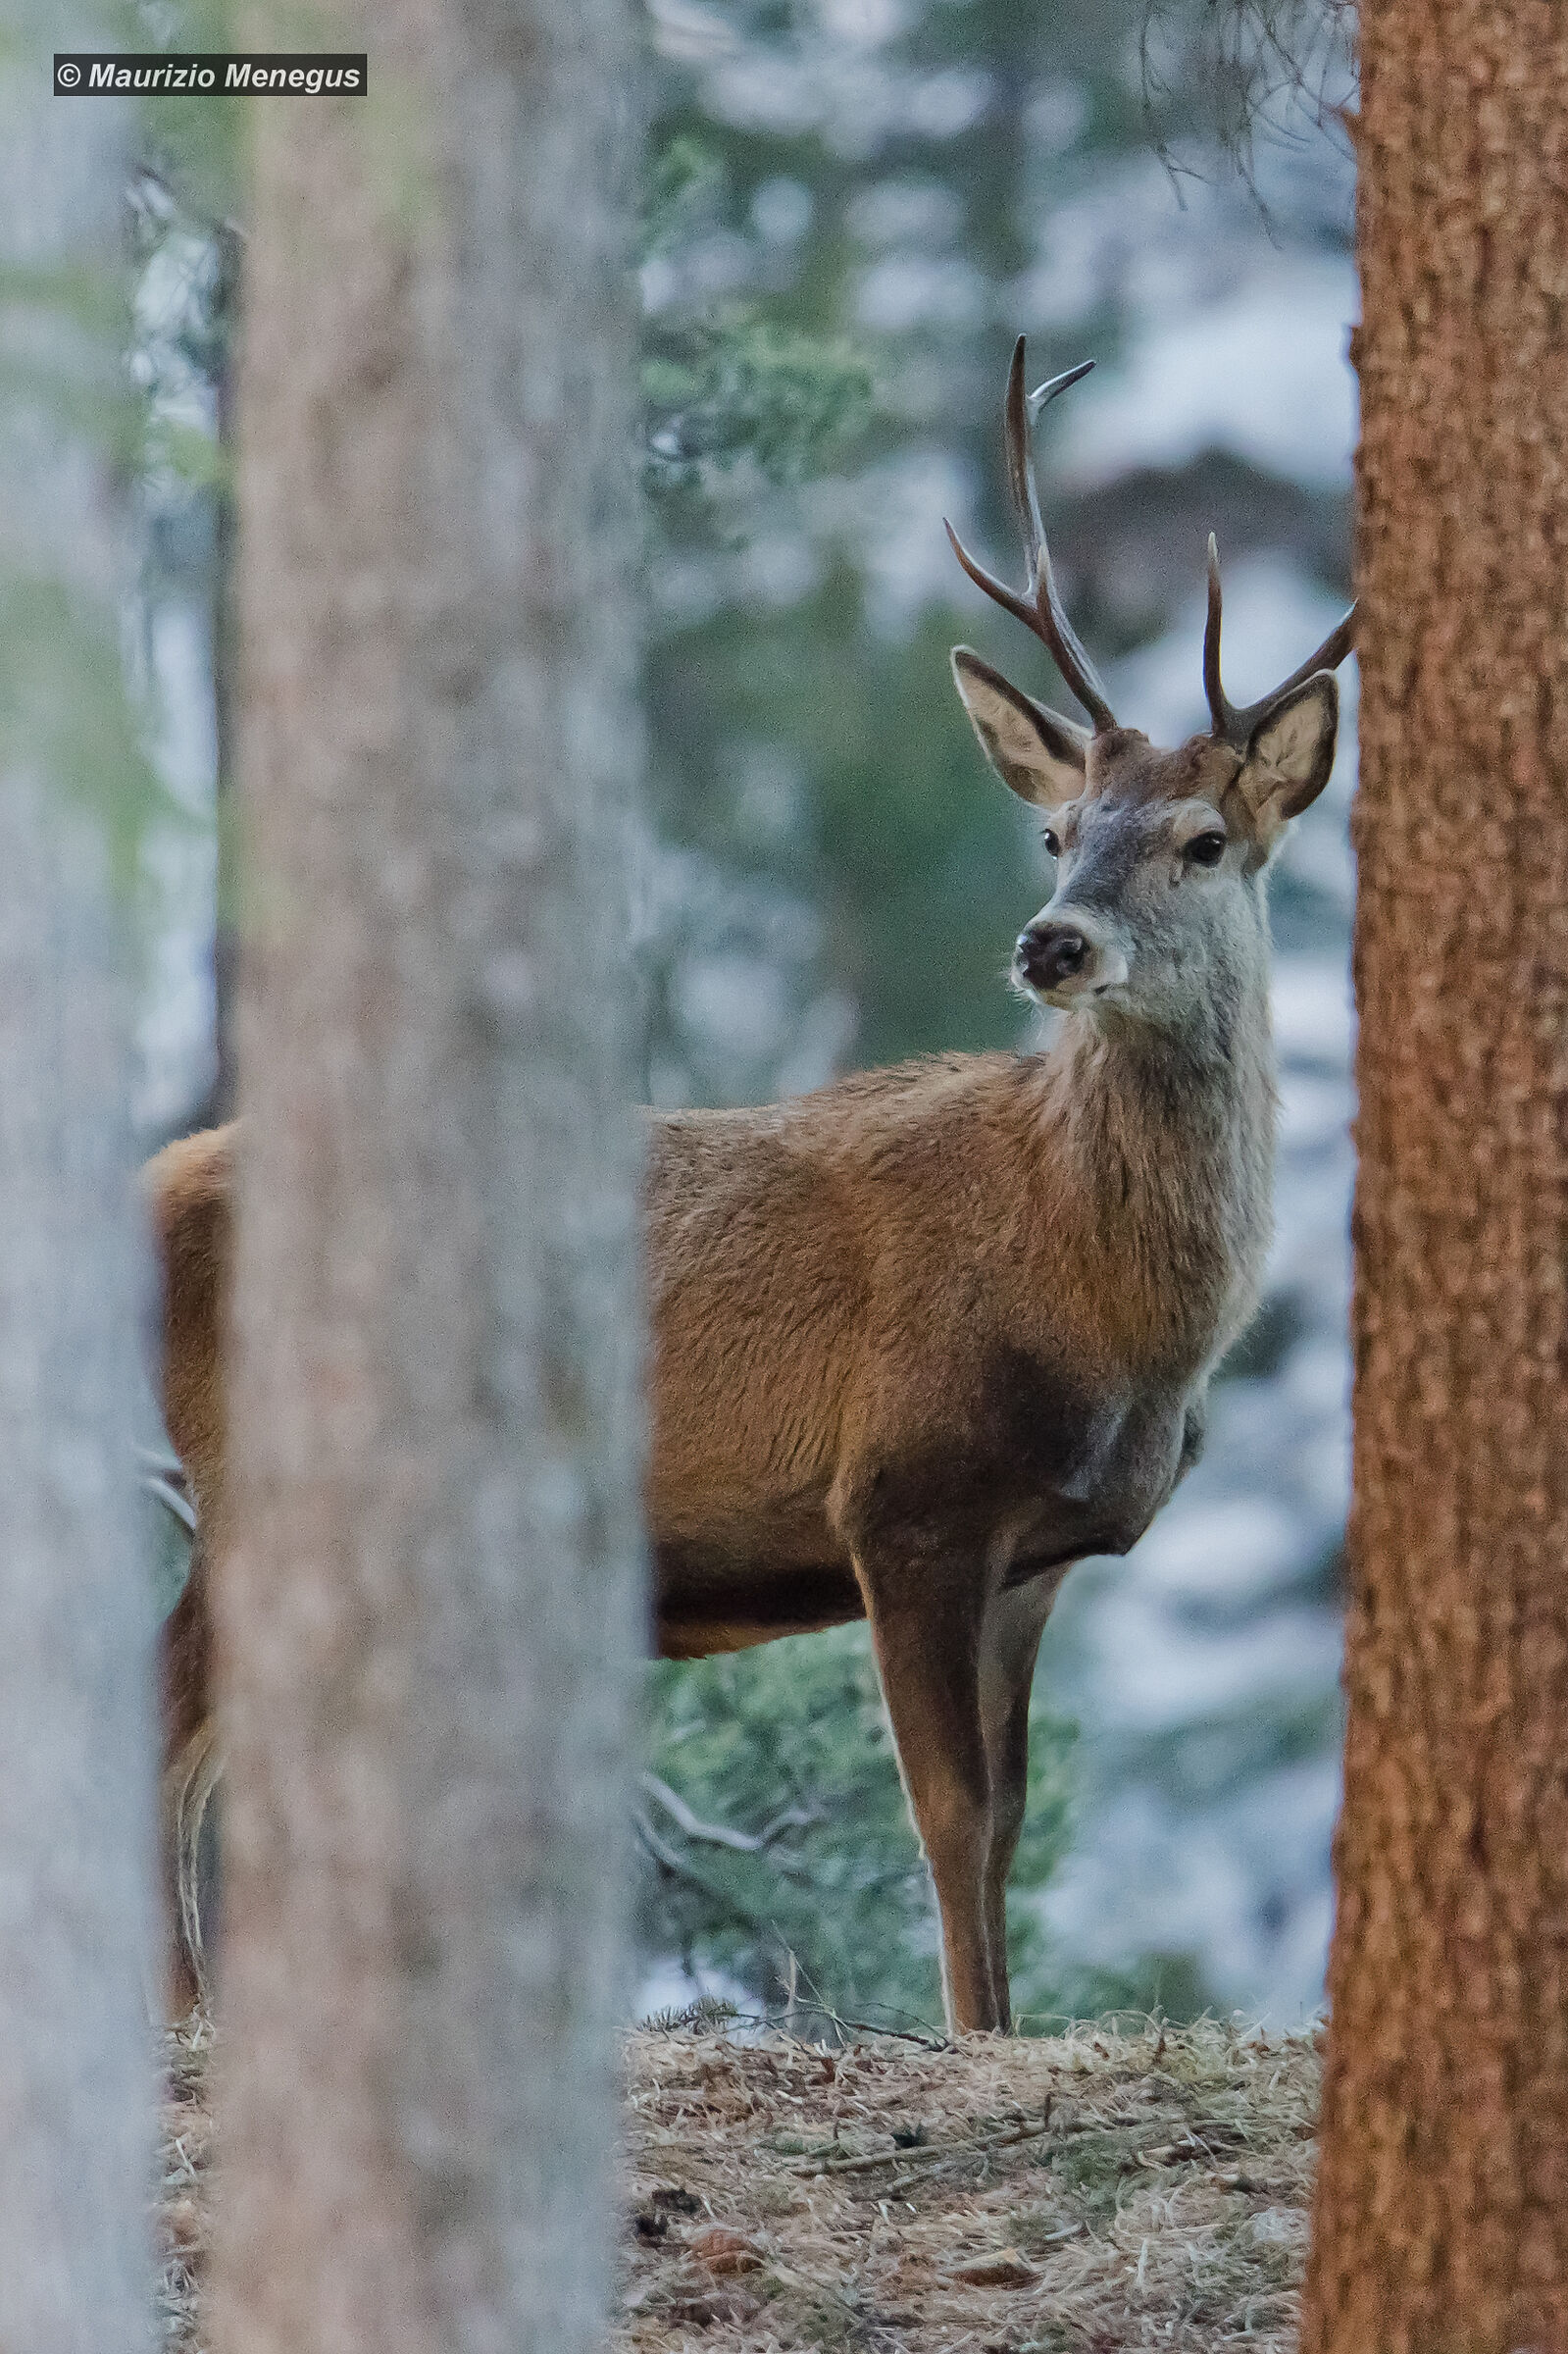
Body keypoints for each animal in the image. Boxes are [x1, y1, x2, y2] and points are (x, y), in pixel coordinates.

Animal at [147, 336, 1355, 2033]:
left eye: (1199, 840)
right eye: (1055, 831)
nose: (1050, 942)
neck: (1106, 1313)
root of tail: (153, 1189)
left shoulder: (1037, 1554)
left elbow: (1012, 1817)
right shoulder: (903, 1490)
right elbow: (948, 1813)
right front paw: (970, 2036)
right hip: (245, 1472)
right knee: (165, 1722)